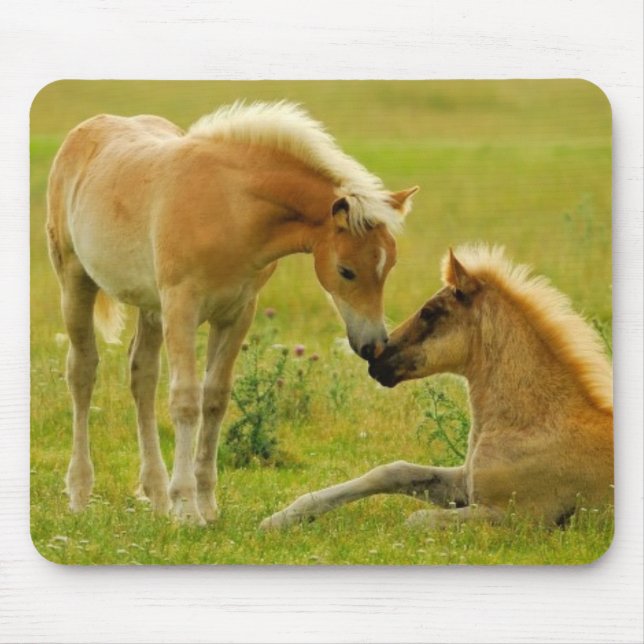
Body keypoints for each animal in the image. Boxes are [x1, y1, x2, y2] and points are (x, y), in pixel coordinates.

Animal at [46, 100, 418, 524]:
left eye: (389, 266)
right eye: (346, 271)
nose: (373, 344)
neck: (230, 208)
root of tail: (86, 130)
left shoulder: (237, 313)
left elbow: (215, 400)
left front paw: (206, 504)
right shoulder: (182, 307)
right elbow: (186, 401)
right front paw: (186, 508)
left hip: (150, 307)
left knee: (142, 376)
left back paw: (156, 494)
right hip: (76, 280)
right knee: (82, 371)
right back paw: (80, 492)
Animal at [261, 244, 613, 530]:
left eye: (429, 312)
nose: (376, 361)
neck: (535, 423)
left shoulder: (520, 516)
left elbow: (416, 520)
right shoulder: (464, 485)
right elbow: (392, 472)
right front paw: (280, 519)